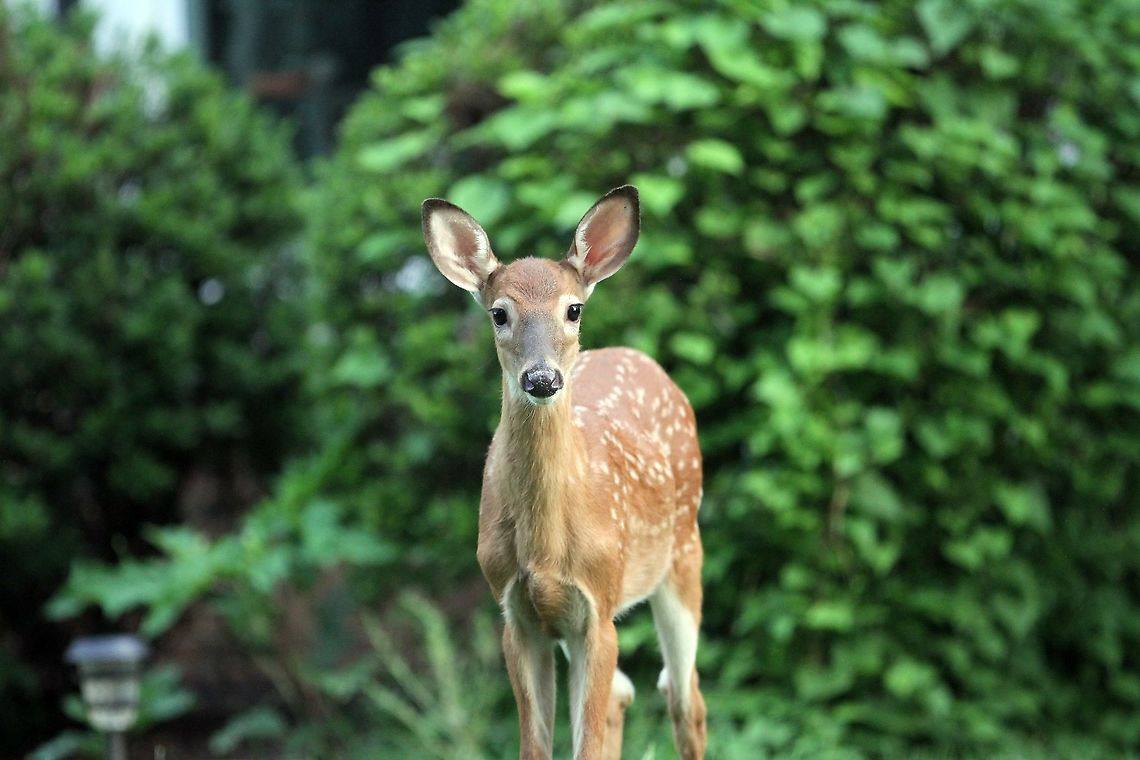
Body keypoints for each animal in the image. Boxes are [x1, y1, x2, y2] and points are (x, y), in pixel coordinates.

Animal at [421, 185, 706, 760]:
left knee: (684, 694)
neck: (546, 547)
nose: (542, 378)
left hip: (684, 553)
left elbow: (587, 746)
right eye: (499, 314)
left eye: (573, 309)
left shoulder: (599, 605)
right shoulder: (517, 615)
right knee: (626, 692)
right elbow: (536, 746)